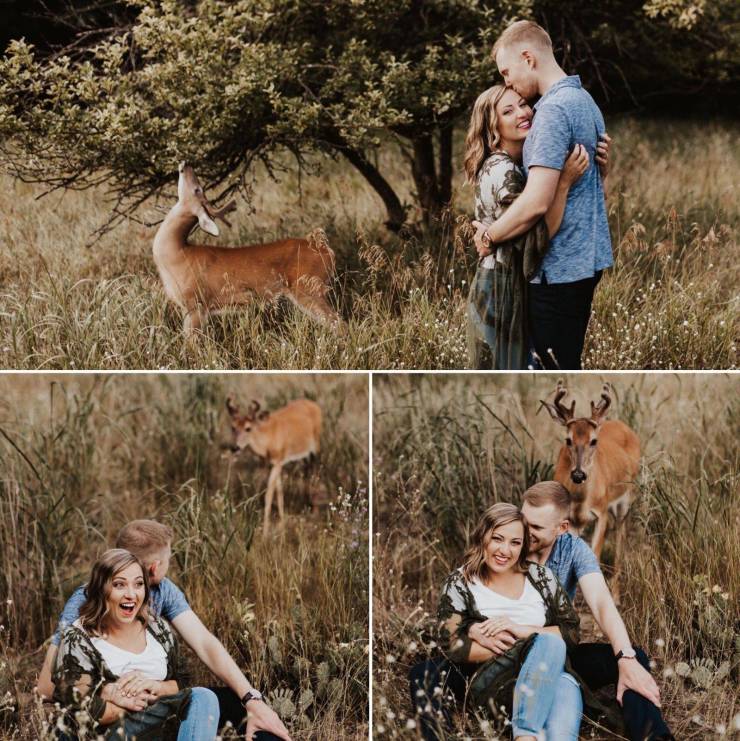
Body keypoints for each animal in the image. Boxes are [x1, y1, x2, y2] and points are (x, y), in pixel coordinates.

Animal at [155, 164, 342, 336]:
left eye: (197, 190)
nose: (186, 165)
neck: (177, 255)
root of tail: (323, 247)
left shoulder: (195, 303)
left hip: (309, 288)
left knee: (339, 324)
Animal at [223, 396, 320, 536]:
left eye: (248, 428)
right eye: (233, 427)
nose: (235, 447)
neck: (267, 441)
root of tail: (313, 404)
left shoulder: (277, 461)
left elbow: (268, 495)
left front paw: (265, 533)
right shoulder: (273, 464)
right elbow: (279, 493)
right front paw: (282, 526)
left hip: (316, 445)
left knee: (316, 469)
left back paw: (315, 509)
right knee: (307, 470)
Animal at [540, 382, 640, 600]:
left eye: (593, 441)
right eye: (568, 440)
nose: (578, 474)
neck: (580, 500)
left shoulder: (601, 512)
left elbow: (594, 555)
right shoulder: (571, 521)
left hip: (625, 501)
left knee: (620, 539)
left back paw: (616, 595)